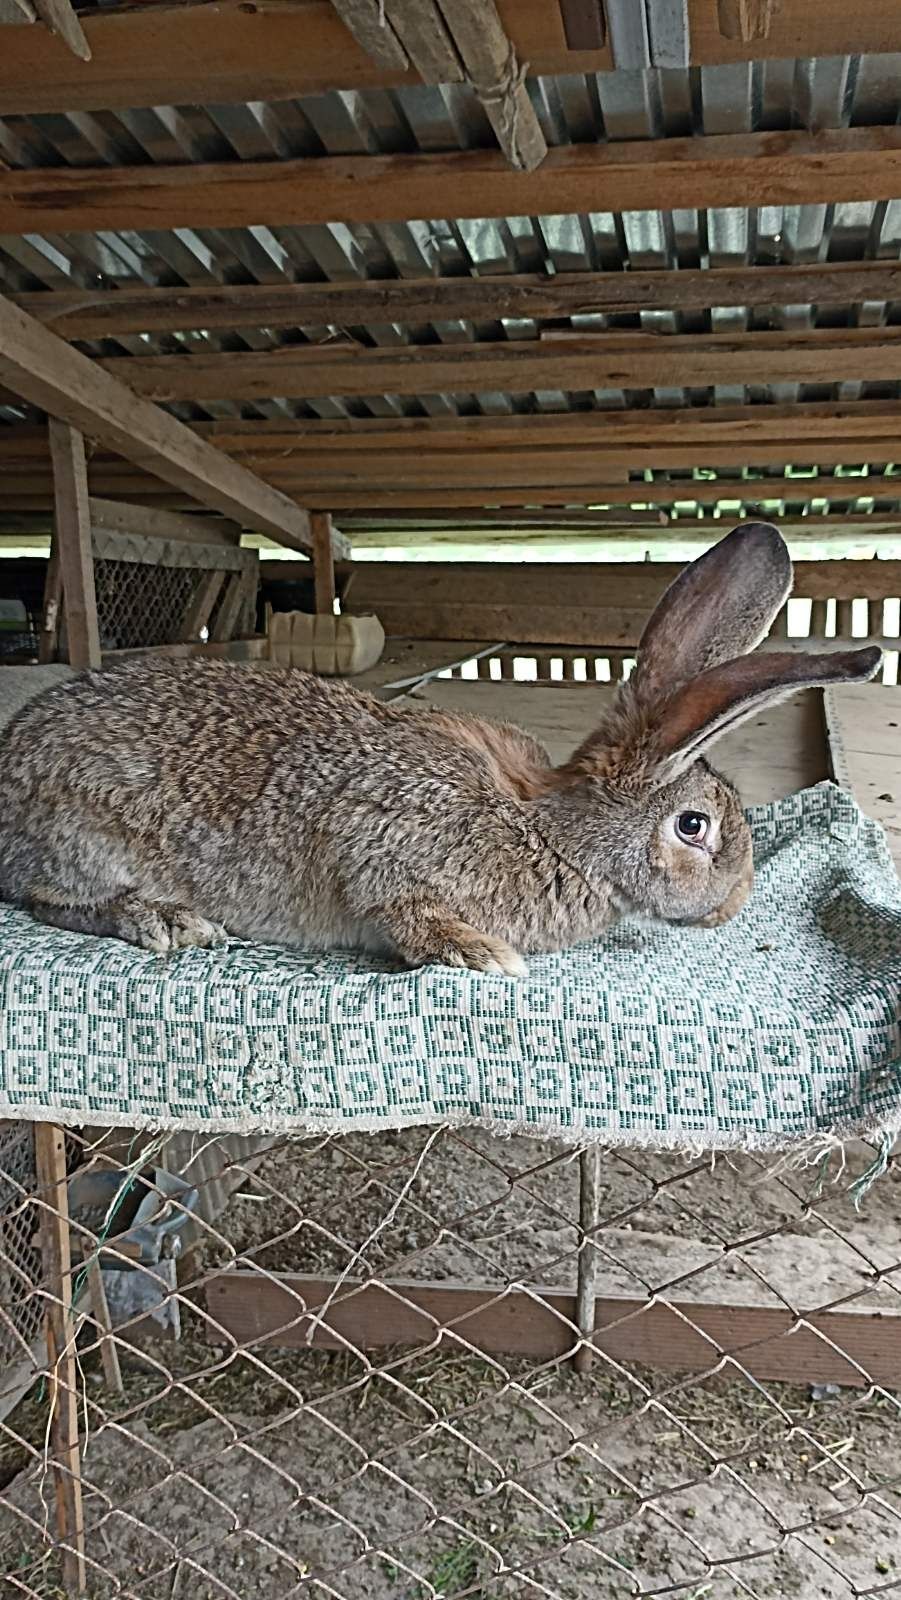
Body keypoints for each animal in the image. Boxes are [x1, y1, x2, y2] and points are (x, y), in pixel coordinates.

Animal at [0, 524, 883, 972]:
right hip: (84, 832)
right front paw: (481, 955)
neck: (557, 834)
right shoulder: (384, 851)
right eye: (693, 827)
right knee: (48, 900)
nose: (734, 905)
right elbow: (400, 912)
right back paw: (164, 920)